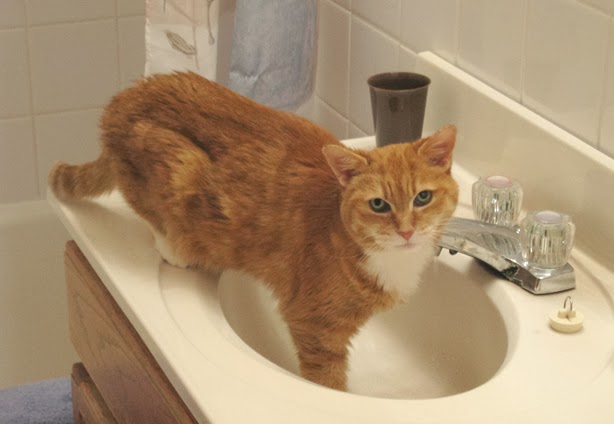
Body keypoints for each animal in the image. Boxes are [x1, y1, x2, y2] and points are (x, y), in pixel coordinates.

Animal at [49, 72, 459, 391]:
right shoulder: (314, 326)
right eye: (378, 205)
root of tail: (126, 96)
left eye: (422, 197)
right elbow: (327, 381)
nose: (406, 231)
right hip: (178, 167)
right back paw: (176, 248)